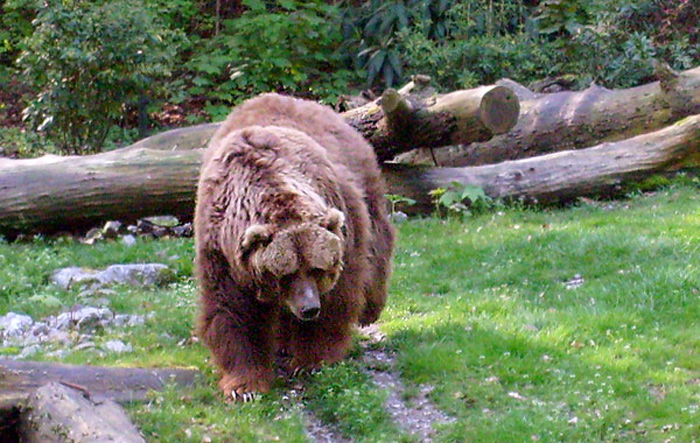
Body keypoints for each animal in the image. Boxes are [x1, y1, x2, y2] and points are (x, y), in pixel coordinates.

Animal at [196, 93, 394, 402]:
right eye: (285, 274)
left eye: (317, 268)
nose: (309, 308)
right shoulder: (221, 251)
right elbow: (234, 312)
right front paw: (244, 385)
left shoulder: (341, 223)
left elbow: (338, 298)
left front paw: (311, 360)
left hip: (364, 181)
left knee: (378, 243)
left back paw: (370, 309)